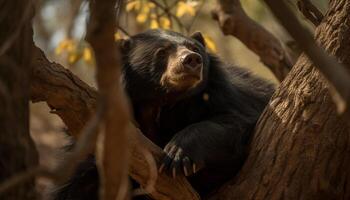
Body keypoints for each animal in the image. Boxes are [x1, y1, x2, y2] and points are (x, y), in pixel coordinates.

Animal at [54, 28, 274, 199]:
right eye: (162, 52)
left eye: (195, 48)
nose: (192, 59)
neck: (163, 101)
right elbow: (79, 180)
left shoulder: (222, 95)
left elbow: (234, 121)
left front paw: (178, 156)